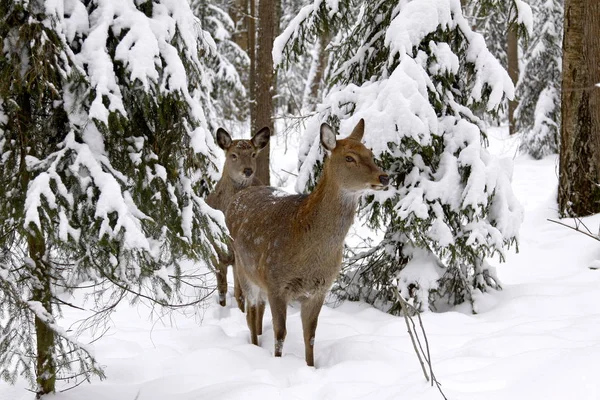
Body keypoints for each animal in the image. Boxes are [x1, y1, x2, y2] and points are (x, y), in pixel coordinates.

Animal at [207, 125, 270, 310]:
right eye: (233, 155)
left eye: (253, 154)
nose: (248, 170)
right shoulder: (216, 253)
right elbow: (222, 288)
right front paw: (222, 307)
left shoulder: (238, 255)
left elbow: (239, 293)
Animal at [225, 118, 390, 366]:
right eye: (349, 157)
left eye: (371, 154)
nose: (384, 177)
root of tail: (235, 199)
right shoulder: (276, 283)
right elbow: (280, 333)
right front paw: (278, 363)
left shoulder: (319, 289)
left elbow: (310, 335)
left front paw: (310, 366)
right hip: (244, 269)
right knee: (250, 311)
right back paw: (253, 346)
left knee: (256, 312)